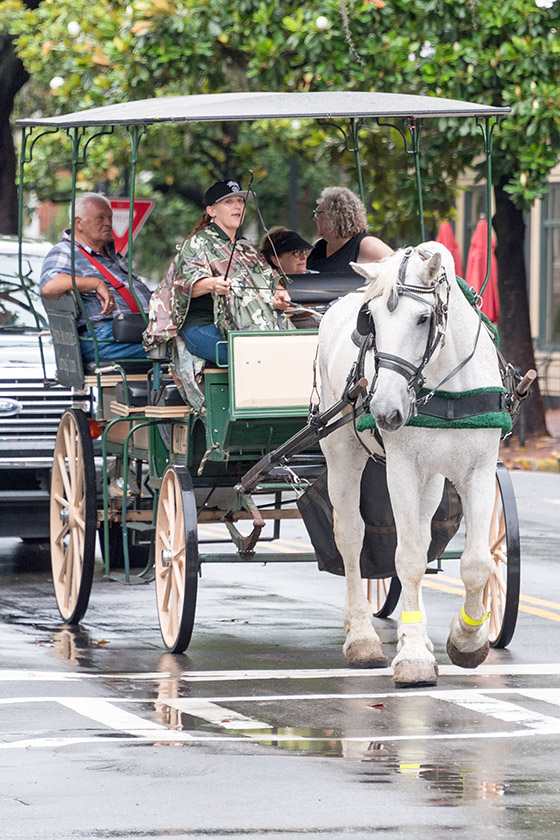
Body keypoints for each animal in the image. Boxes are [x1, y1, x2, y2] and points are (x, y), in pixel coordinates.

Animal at [320, 243, 504, 688]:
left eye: (423, 318)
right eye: (370, 320)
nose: (385, 410)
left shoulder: (480, 470)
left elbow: (477, 562)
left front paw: (468, 639)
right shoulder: (402, 468)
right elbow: (407, 559)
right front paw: (415, 657)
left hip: (433, 478)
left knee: (420, 534)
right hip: (341, 451)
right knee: (351, 536)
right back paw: (362, 636)